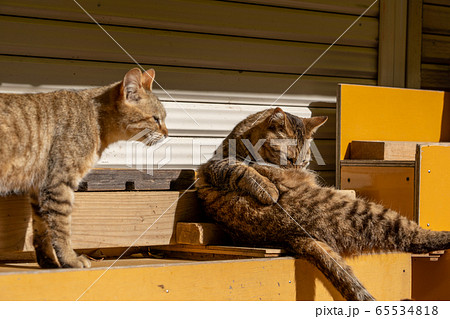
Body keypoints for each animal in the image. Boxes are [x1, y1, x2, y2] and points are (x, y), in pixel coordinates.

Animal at [0, 68, 168, 270]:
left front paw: (48, 261)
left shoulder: (38, 188)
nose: (168, 134)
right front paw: (69, 259)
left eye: (163, 118)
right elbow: (61, 228)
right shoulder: (58, 183)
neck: (95, 119)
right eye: (156, 119)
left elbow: (42, 229)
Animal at [198, 109, 450, 302]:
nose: (297, 170)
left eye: (304, 161)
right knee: (411, 237)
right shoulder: (213, 166)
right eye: (289, 159)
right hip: (366, 212)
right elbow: (243, 171)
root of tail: (290, 237)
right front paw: (269, 188)